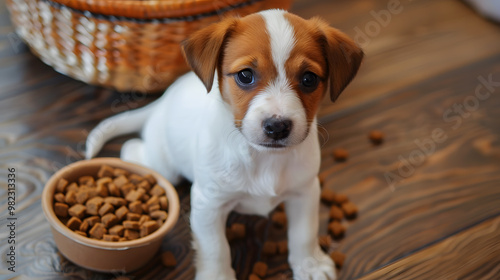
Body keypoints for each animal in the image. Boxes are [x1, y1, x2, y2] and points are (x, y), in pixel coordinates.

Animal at [87, 9, 364, 280]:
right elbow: (215, 248)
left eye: (309, 79)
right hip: (165, 165)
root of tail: (164, 99)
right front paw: (218, 275)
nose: (277, 127)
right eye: (245, 75)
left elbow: (304, 233)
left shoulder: (305, 191)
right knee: (135, 149)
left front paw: (310, 265)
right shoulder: (208, 204)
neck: (263, 158)